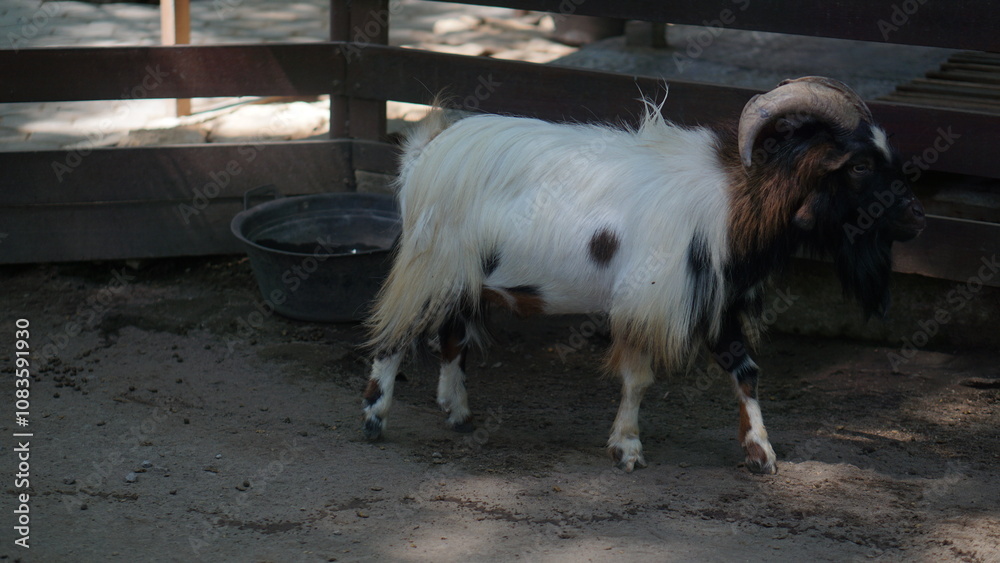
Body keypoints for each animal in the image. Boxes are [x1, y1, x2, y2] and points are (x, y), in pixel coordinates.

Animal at [361, 77, 926, 474]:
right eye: (858, 166)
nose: (917, 219)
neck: (732, 202)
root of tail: (424, 154)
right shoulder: (647, 300)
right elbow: (638, 379)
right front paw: (627, 449)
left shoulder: (715, 301)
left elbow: (746, 372)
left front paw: (761, 454)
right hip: (429, 264)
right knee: (394, 337)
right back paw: (373, 421)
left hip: (462, 277)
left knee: (451, 336)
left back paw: (458, 414)